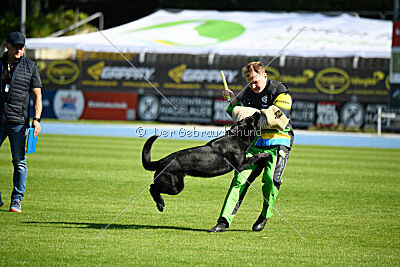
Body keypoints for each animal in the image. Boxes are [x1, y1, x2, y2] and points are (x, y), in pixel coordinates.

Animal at [142, 112, 270, 213]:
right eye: (251, 119)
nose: (258, 112)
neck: (237, 137)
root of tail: (162, 161)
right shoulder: (241, 165)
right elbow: (255, 156)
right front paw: (265, 154)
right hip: (175, 186)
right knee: (152, 187)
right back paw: (160, 204)